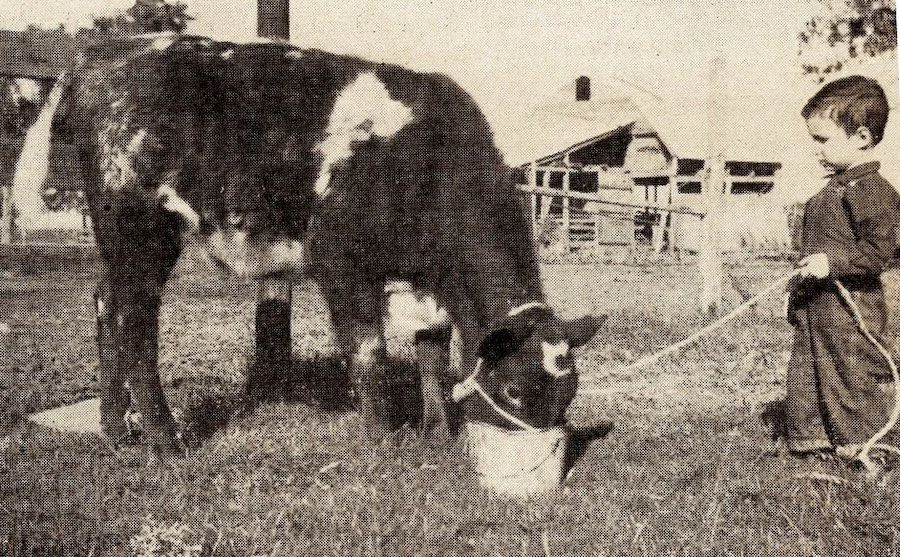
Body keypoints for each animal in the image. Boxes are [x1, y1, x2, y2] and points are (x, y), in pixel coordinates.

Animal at [14, 33, 605, 457]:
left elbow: (433, 355)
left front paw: (440, 433)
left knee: (104, 305)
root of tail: (102, 55)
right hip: (141, 226)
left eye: (568, 394)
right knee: (134, 321)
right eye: (513, 391)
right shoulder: (340, 262)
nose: (541, 456)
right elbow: (369, 355)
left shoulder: (422, 281)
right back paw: (166, 441)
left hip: (115, 236)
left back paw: (117, 430)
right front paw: (386, 442)